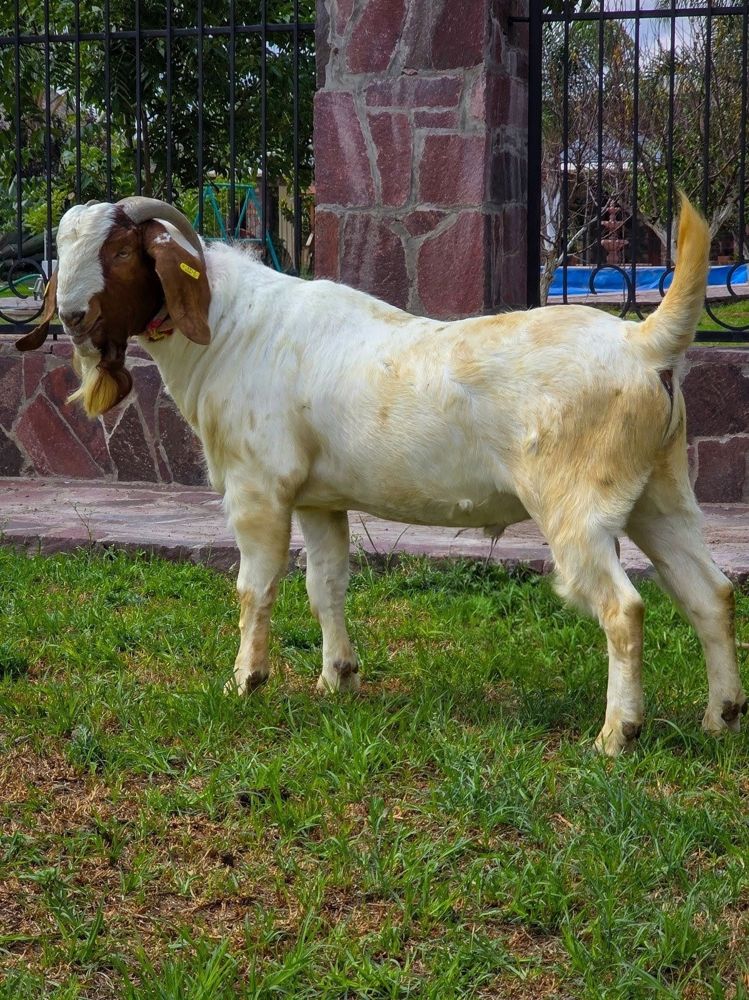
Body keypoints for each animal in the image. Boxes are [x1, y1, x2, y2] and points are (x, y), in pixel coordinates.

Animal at [17, 194, 745, 755]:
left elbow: (255, 588)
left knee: (623, 608)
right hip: (660, 495)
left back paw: (616, 735)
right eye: (63, 252)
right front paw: (336, 678)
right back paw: (720, 717)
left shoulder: (259, 488)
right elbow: (326, 585)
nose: (73, 318)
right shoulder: (319, 499)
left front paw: (245, 682)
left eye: (120, 253)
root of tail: (642, 342)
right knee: (708, 593)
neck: (232, 328)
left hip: (576, 508)